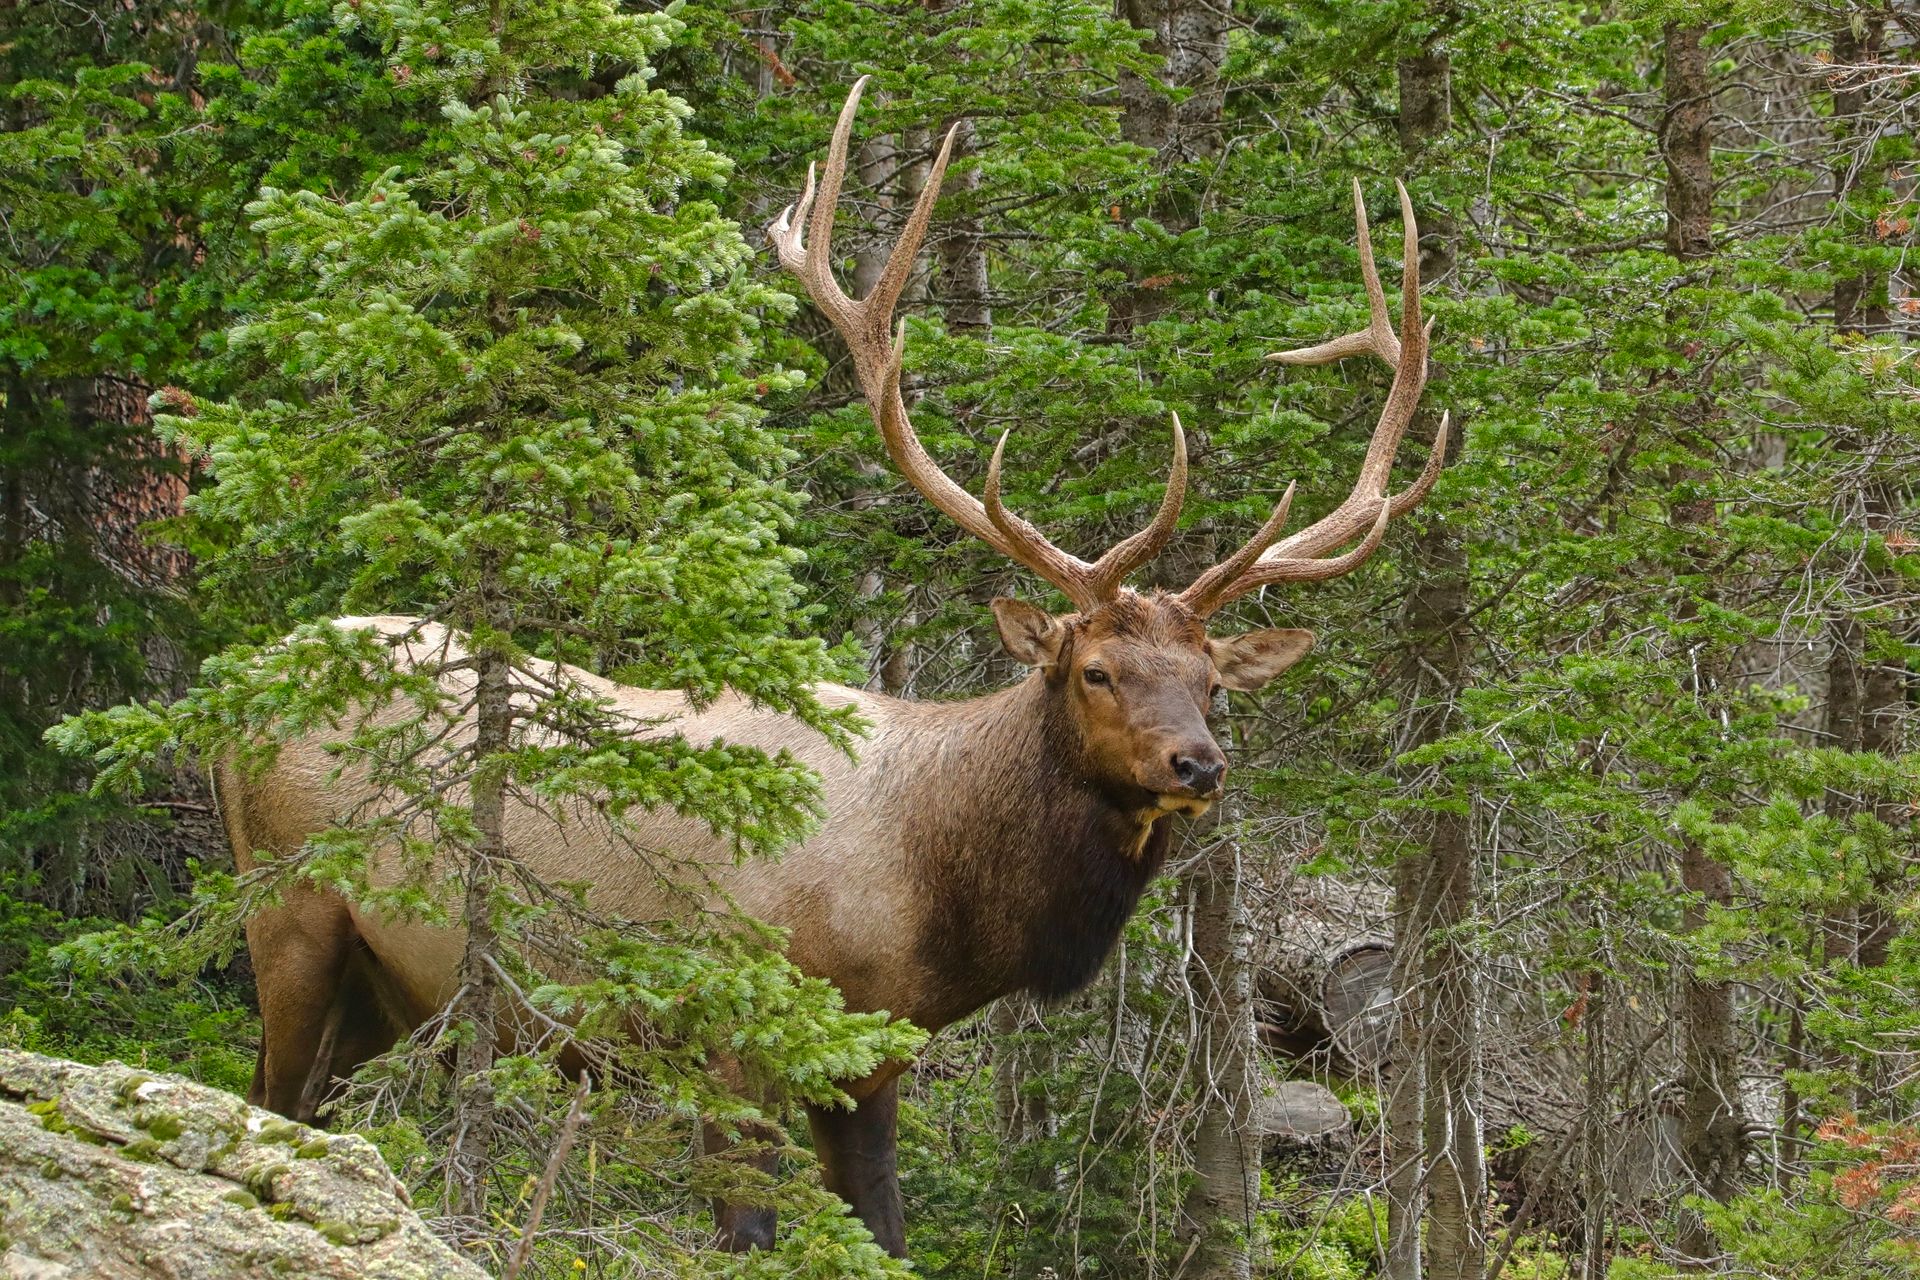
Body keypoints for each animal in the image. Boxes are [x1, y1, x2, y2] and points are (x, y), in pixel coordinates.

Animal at [218, 80, 1444, 1259]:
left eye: (1214, 682)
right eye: (1095, 669)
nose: (1198, 765)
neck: (927, 897)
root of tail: (234, 687)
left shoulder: (872, 1058)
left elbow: (886, 1232)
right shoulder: (728, 1031)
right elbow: (749, 1236)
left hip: (385, 980)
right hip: (289, 910)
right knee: (272, 1096)